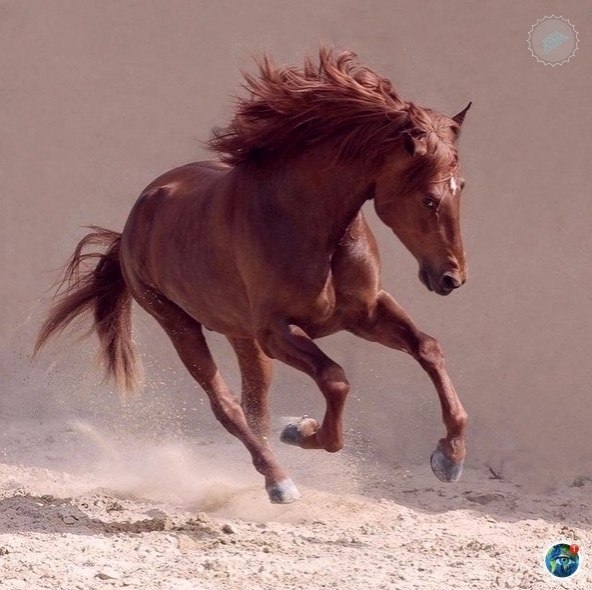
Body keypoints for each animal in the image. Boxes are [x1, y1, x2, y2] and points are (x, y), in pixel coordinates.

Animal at [35, 48, 471, 503]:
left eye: (462, 187)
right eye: (428, 199)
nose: (451, 278)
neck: (309, 224)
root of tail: (131, 227)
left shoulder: (364, 314)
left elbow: (428, 348)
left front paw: (449, 458)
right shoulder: (277, 331)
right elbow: (335, 380)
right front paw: (302, 432)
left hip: (241, 336)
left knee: (253, 408)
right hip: (179, 323)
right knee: (227, 406)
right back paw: (278, 481)